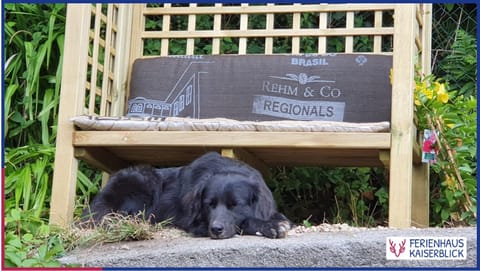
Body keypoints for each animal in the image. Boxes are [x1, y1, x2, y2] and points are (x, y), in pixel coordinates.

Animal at [84, 153, 290, 240]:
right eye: (209, 204)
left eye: (234, 205)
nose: (216, 230)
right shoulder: (195, 224)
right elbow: (245, 222)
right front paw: (270, 226)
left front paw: (278, 221)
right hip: (142, 178)